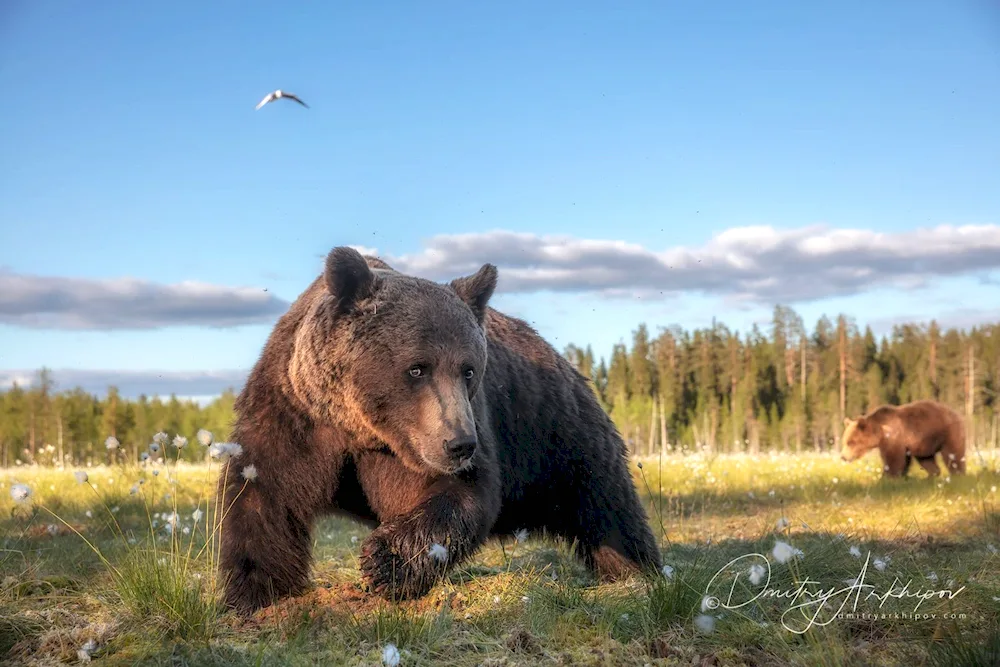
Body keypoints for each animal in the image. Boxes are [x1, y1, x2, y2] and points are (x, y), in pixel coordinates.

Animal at [215, 245, 660, 616]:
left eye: (469, 369)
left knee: (608, 507)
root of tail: (561, 358)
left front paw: (384, 562)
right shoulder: (295, 415)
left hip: (557, 437)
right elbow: (263, 495)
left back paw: (638, 572)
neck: (360, 429)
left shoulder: (434, 439)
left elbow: (460, 495)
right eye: (417, 368)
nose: (460, 444)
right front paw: (254, 593)